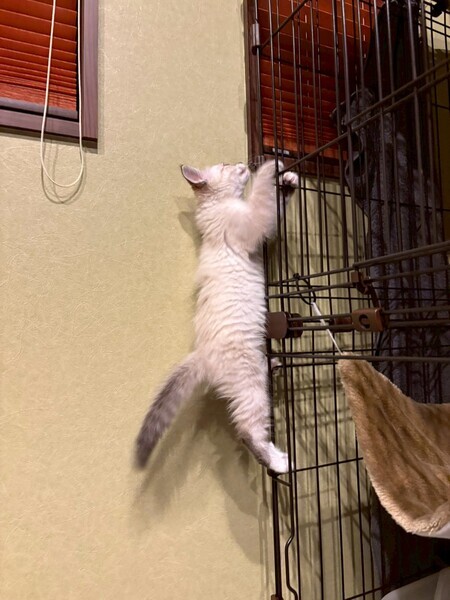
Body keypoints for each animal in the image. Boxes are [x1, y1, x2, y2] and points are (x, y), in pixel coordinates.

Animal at [135, 160, 298, 473]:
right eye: (225, 165)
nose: (241, 163)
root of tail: (201, 354)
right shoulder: (251, 224)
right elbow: (262, 198)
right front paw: (270, 168)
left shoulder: (261, 225)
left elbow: (276, 205)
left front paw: (289, 180)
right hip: (251, 385)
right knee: (248, 430)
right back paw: (280, 462)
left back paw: (275, 363)